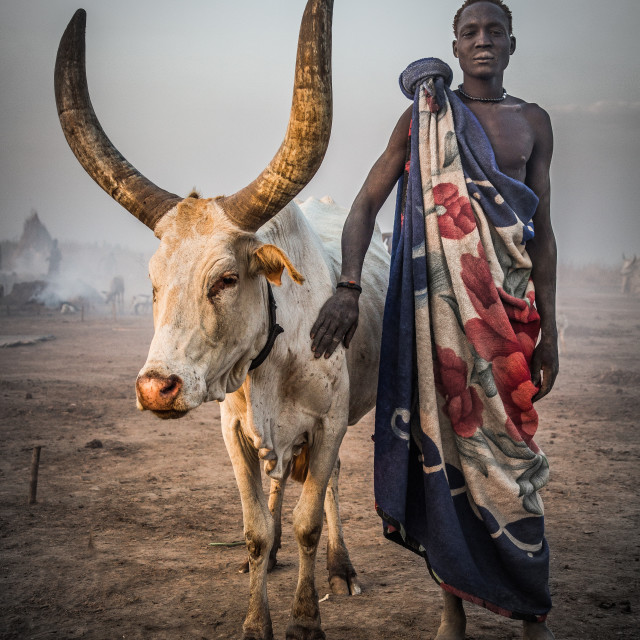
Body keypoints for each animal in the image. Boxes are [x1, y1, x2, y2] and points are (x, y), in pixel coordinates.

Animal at [55, 2, 388, 636]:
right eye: (153, 282)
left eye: (226, 279)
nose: (156, 388)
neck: (275, 353)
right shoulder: (233, 432)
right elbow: (254, 529)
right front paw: (257, 616)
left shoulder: (329, 422)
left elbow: (311, 516)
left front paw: (305, 619)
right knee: (280, 487)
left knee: (327, 487)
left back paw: (339, 569)